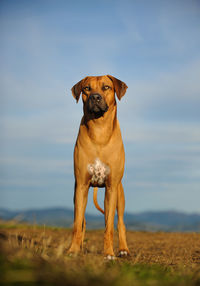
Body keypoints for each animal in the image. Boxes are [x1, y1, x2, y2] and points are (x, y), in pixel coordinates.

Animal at [67, 74, 130, 260]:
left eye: (106, 87)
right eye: (87, 88)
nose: (95, 97)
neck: (99, 130)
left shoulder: (111, 187)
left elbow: (109, 226)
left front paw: (108, 253)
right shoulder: (81, 186)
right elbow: (77, 224)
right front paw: (73, 250)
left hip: (119, 194)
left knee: (120, 222)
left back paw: (123, 249)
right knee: (82, 221)